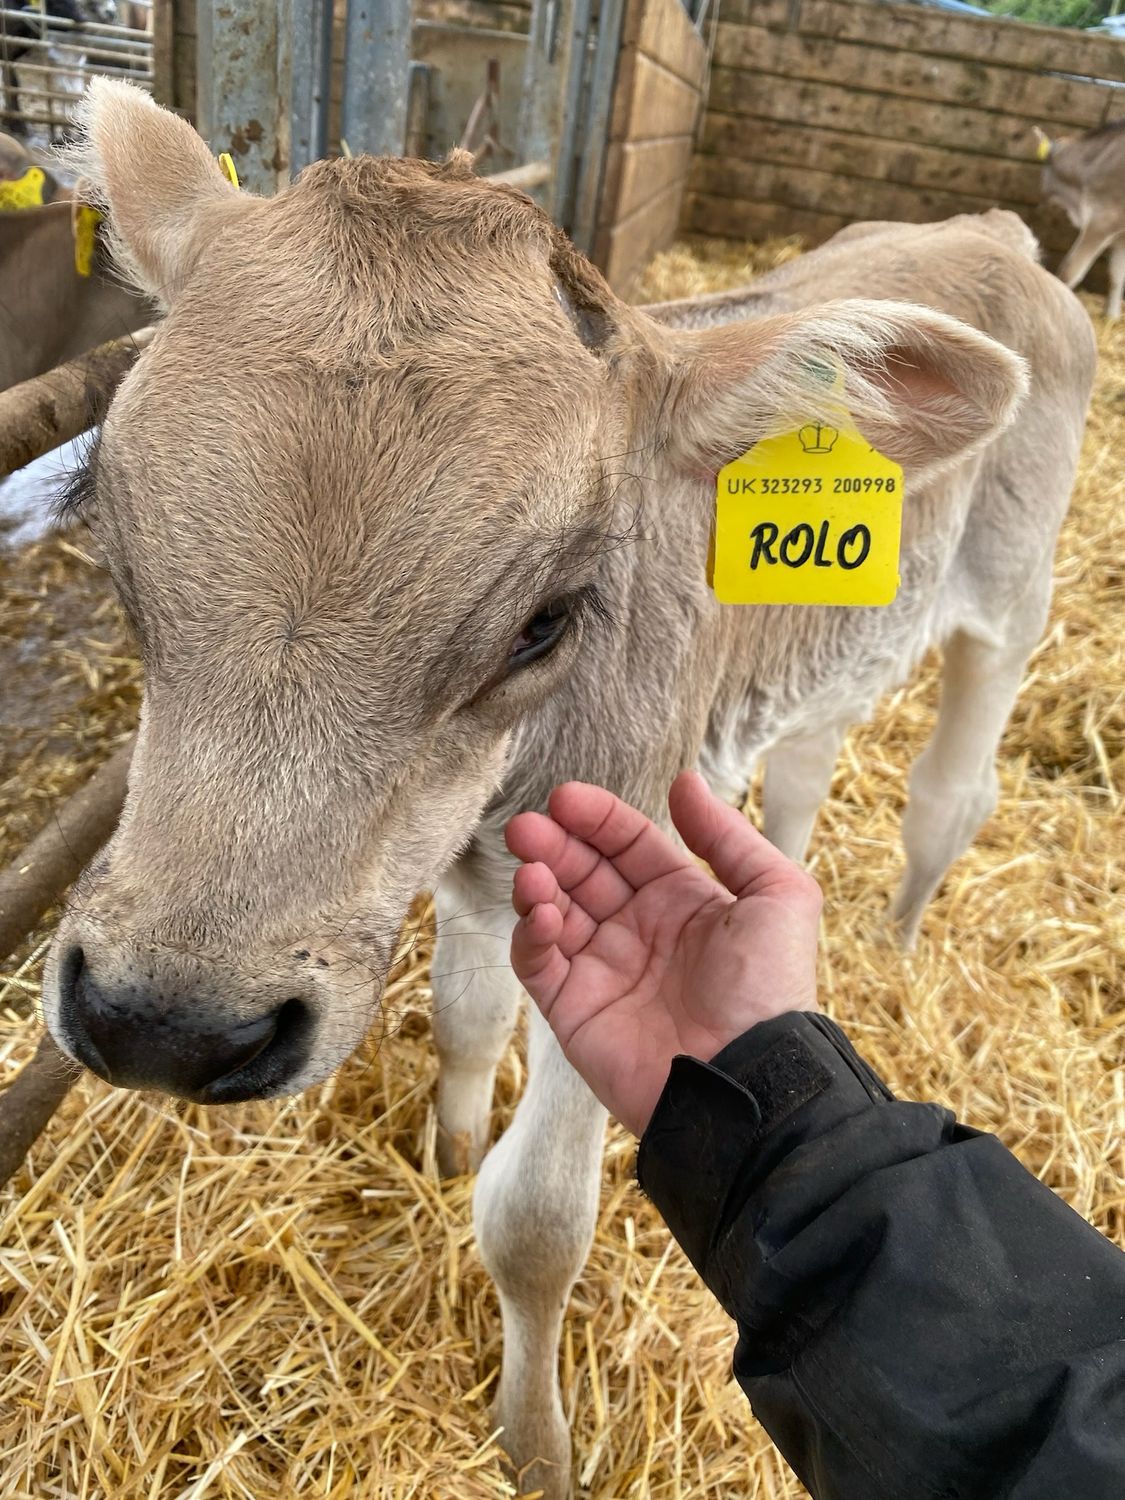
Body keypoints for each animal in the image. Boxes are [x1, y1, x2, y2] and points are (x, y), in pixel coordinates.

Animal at [39, 81, 1095, 1498]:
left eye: (545, 620)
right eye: (113, 534)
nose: (167, 1024)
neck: (504, 797)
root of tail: (996, 232)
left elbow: (537, 1221)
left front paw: (532, 1442)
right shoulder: (469, 875)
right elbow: (467, 1020)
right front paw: (446, 1153)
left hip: (1014, 592)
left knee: (952, 793)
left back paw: (901, 936)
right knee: (810, 751)